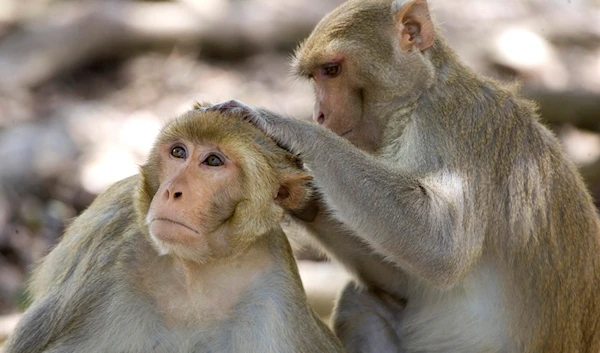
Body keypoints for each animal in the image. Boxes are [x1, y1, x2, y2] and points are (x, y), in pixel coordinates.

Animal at [3, 104, 342, 352]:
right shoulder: (110, 256)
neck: (196, 271)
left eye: (214, 161)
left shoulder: (274, 295)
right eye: (179, 152)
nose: (171, 191)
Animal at [205, 0, 600, 350]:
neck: (417, 99)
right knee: (361, 303)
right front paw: (296, 197)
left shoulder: (453, 124)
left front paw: (284, 127)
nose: (319, 114)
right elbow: (402, 279)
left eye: (331, 70)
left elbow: (441, 245)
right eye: (316, 76)